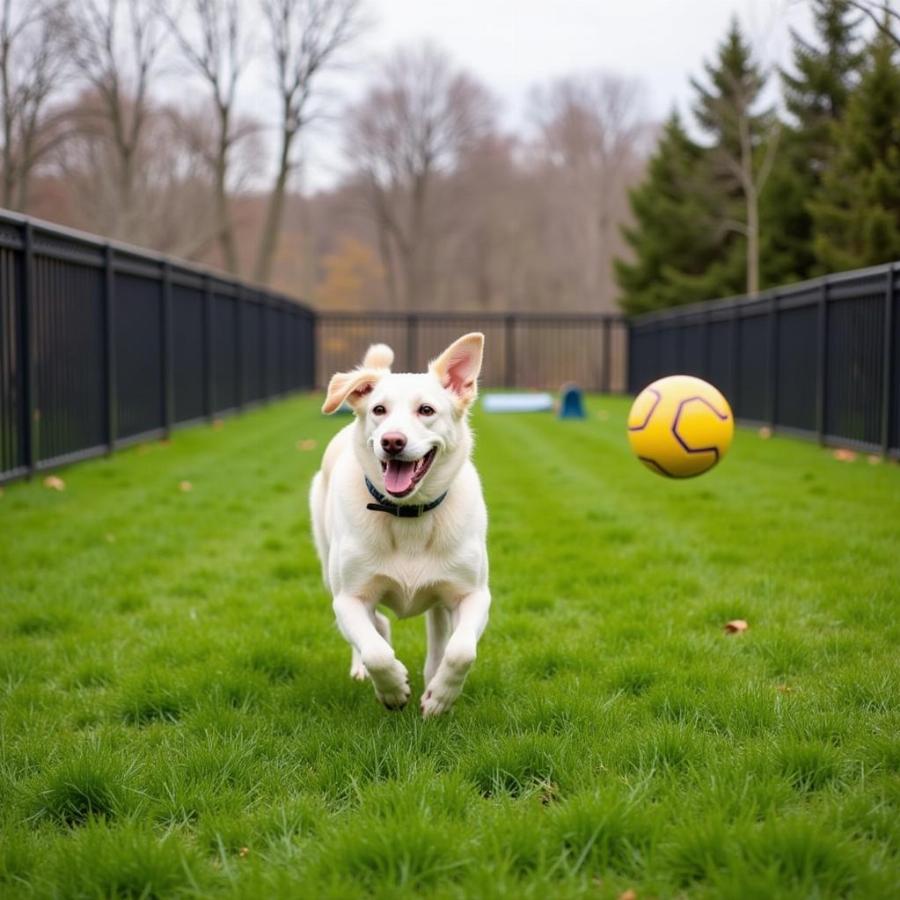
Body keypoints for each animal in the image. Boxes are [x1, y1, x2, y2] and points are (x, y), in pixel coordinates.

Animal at [312, 330, 492, 716]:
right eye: (379, 410)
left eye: (426, 410)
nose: (392, 441)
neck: (408, 514)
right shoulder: (348, 599)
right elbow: (377, 652)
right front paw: (394, 689)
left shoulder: (473, 595)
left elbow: (461, 651)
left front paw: (440, 697)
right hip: (329, 569)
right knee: (376, 626)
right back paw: (363, 671)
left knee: (438, 634)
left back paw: (432, 679)